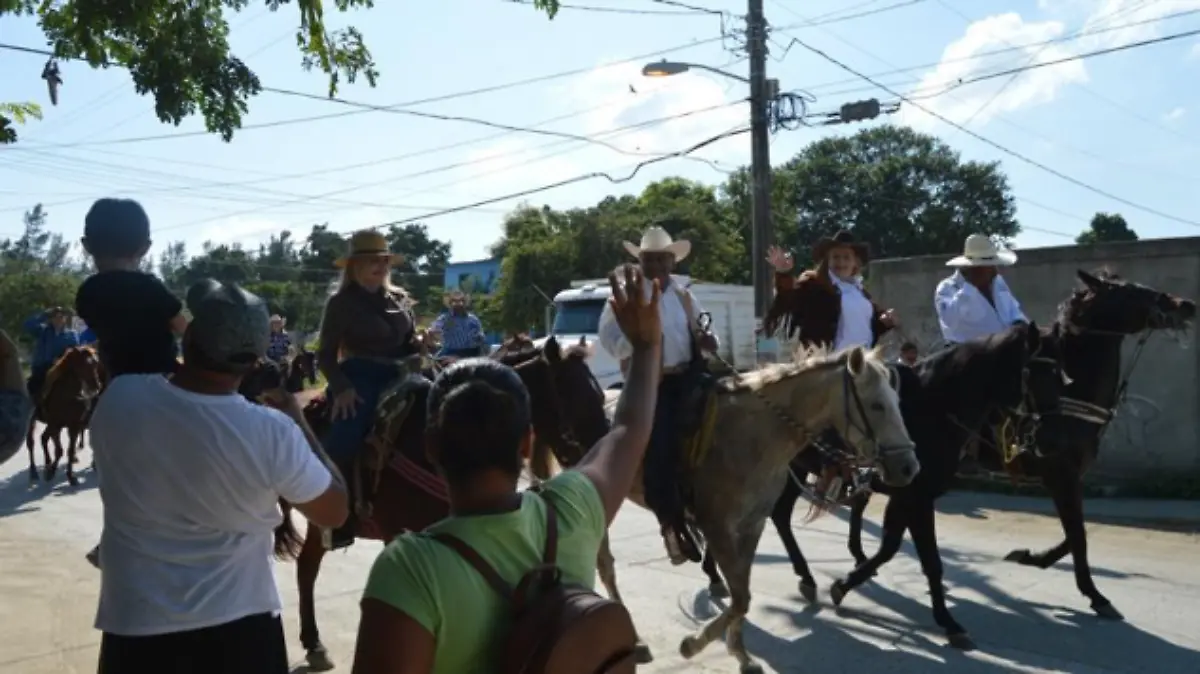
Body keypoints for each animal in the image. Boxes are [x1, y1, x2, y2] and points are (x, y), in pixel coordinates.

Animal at [24, 345, 103, 482]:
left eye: (96, 363)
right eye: (84, 364)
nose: (96, 386)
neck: (66, 396)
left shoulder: (74, 426)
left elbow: (69, 450)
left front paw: (71, 476)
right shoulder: (56, 424)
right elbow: (59, 450)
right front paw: (51, 472)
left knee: (44, 438)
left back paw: (48, 462)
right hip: (33, 421)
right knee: (31, 442)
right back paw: (34, 471)